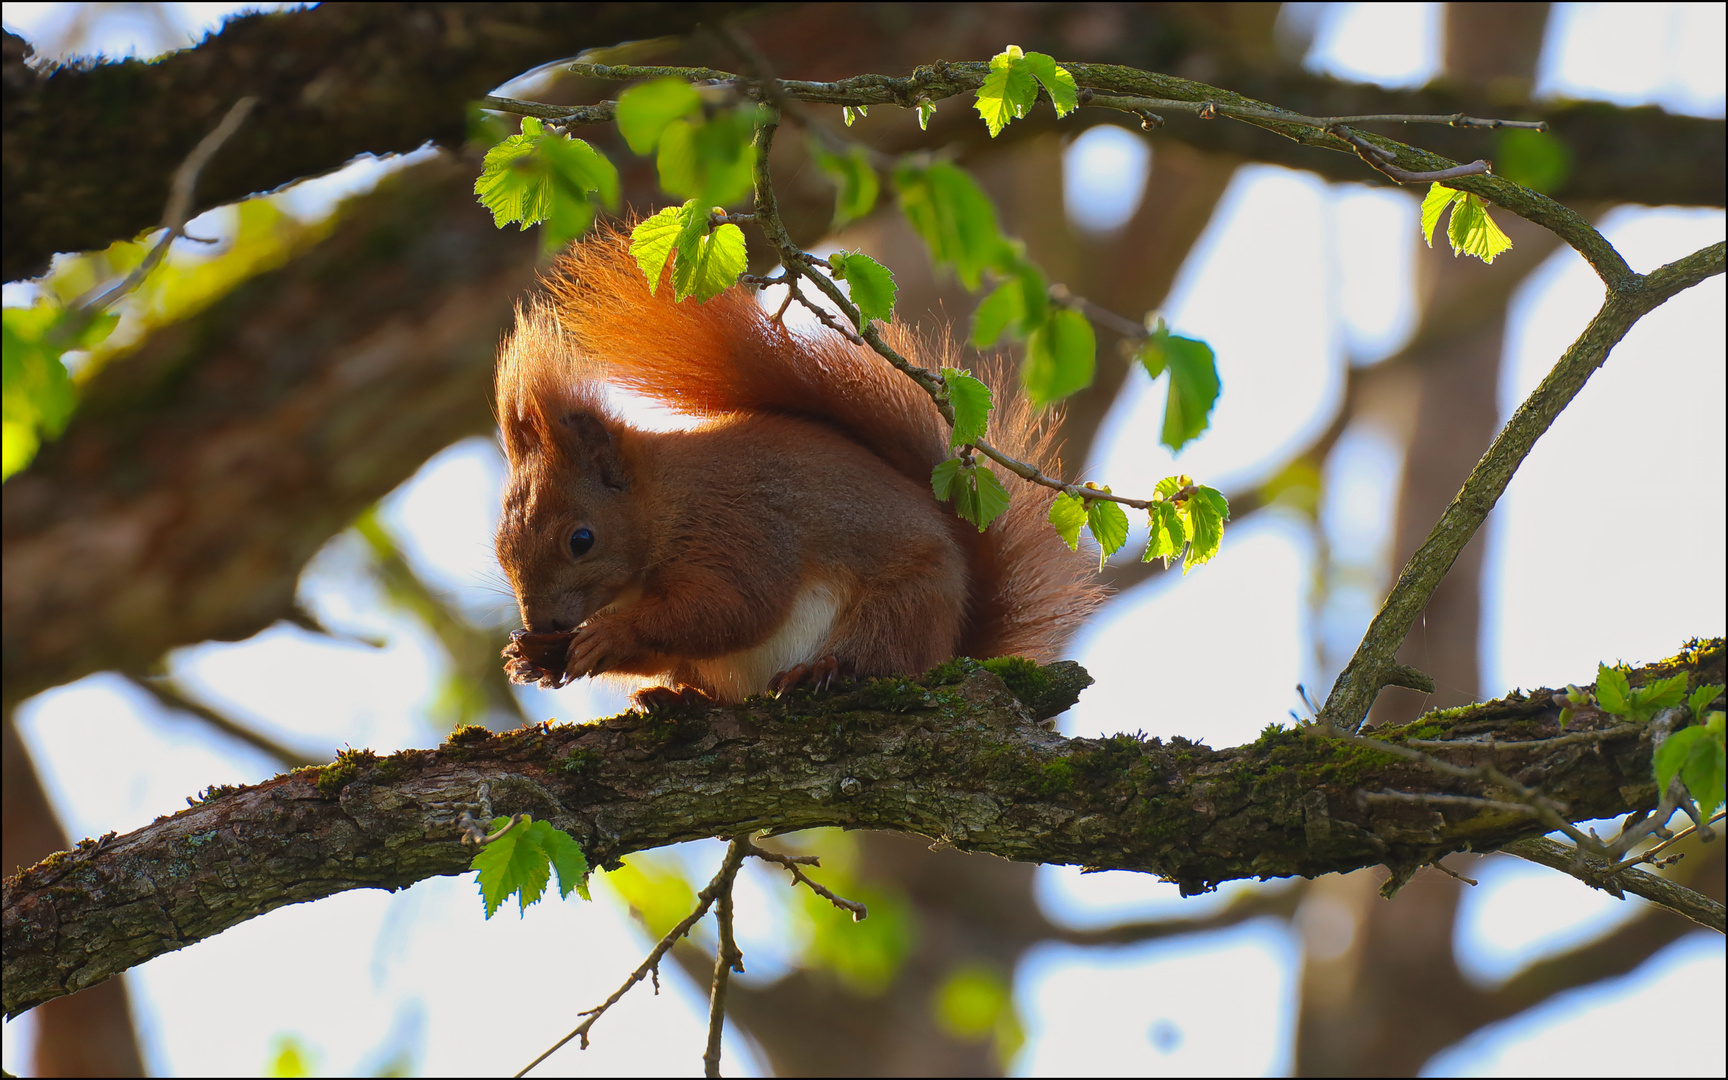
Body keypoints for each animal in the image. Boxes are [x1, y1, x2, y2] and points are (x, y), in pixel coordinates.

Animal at [494, 228, 1099, 708]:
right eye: (500, 550)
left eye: (582, 540)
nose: (541, 623)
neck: (664, 502)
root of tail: (949, 646)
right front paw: (536, 656)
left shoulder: (737, 527)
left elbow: (731, 608)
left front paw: (606, 635)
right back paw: (674, 697)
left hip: (903, 606)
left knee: (878, 657)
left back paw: (821, 669)